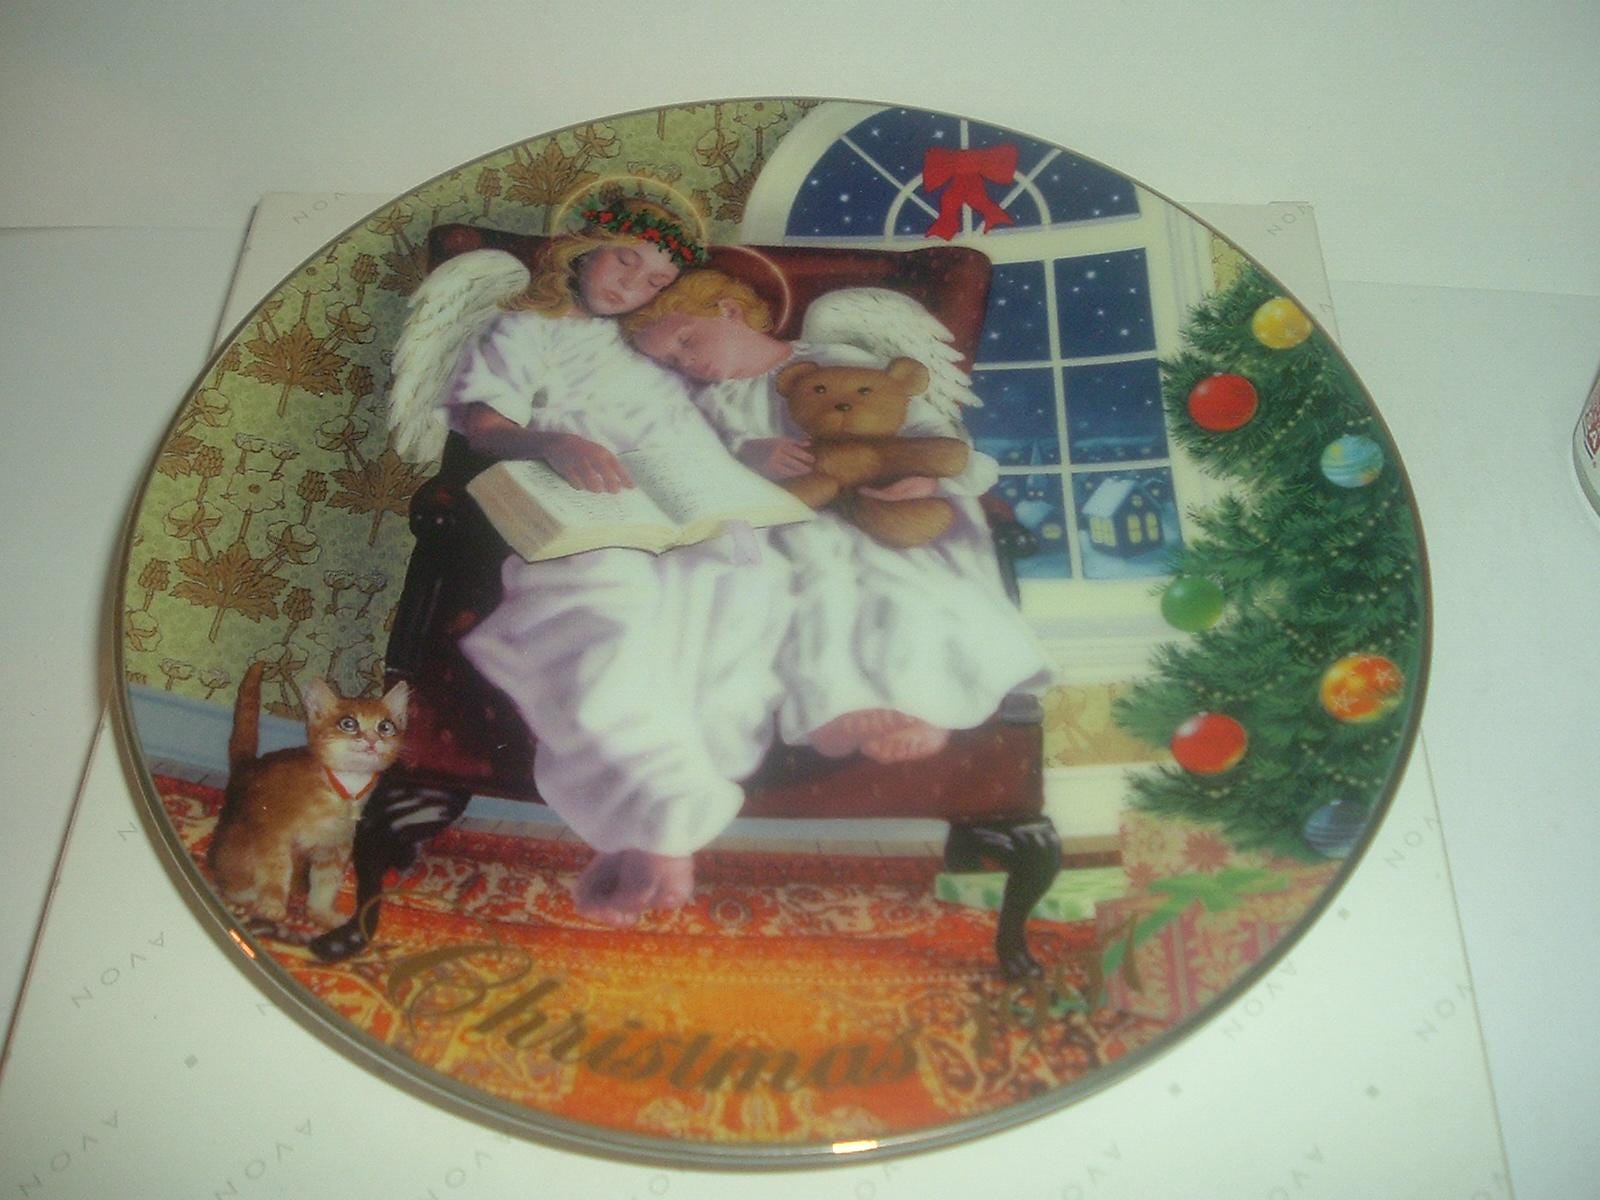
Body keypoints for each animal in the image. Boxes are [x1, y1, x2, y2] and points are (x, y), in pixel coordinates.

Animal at [208, 661, 409, 931]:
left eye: (385, 726)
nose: (372, 740)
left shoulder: (335, 848)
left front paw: (320, 914)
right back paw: (239, 899)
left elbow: (326, 885)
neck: (342, 790)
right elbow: (276, 870)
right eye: (348, 724)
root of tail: (248, 765)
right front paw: (272, 904)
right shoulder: (273, 835)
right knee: (231, 873)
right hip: (239, 842)